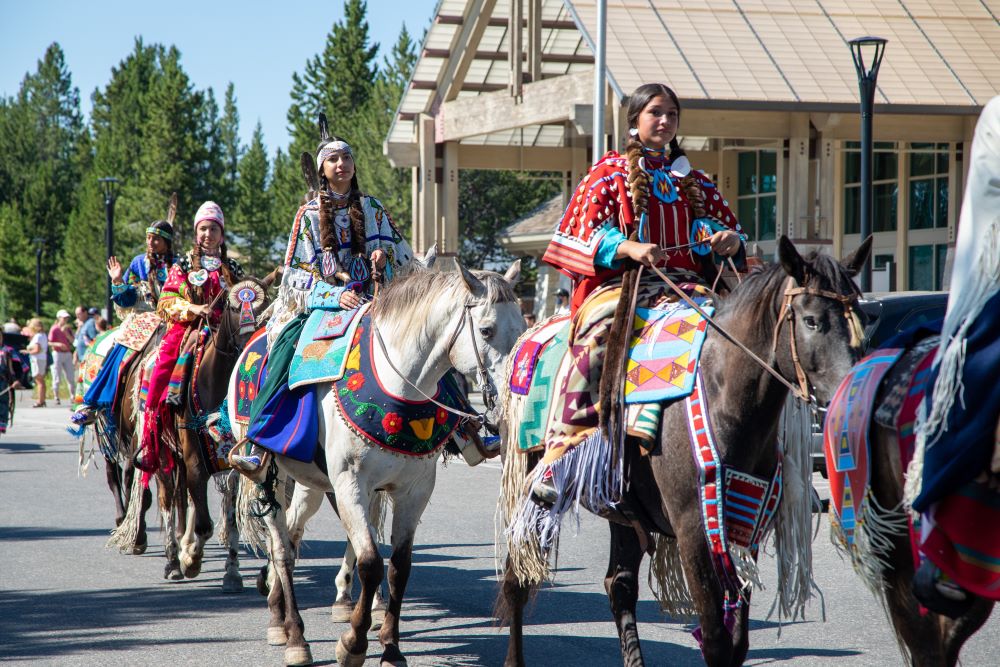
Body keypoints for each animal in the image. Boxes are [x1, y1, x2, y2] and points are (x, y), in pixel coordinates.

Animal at [229, 260, 520, 667]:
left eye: (522, 328)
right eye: (486, 330)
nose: (509, 403)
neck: (400, 385)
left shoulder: (413, 492)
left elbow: (399, 567)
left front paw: (391, 647)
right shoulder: (351, 484)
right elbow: (369, 562)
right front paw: (353, 644)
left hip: (309, 483)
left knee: (293, 534)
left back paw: (278, 609)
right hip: (266, 475)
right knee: (282, 549)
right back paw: (292, 635)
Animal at [496, 237, 872, 664]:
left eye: (860, 316)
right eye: (811, 320)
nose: (850, 396)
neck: (723, 395)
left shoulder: (744, 526)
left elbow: (736, 640)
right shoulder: (693, 526)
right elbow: (715, 638)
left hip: (621, 508)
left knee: (618, 585)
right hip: (524, 487)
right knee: (517, 578)